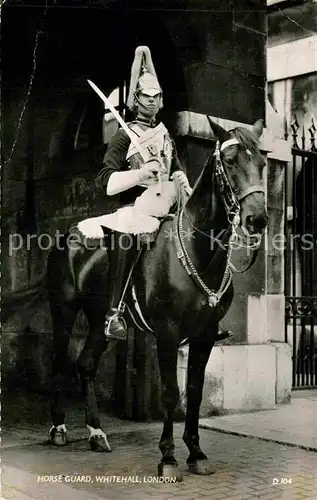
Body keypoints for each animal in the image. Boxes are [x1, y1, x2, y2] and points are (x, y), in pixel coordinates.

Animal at [45, 116, 266, 476]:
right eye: (231, 161)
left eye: (262, 163)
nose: (256, 219)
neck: (198, 250)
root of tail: (69, 234)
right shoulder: (167, 334)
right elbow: (170, 393)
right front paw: (168, 457)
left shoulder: (204, 336)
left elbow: (194, 393)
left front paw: (196, 453)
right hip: (63, 311)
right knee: (61, 361)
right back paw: (59, 428)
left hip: (100, 320)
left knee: (87, 363)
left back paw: (96, 432)